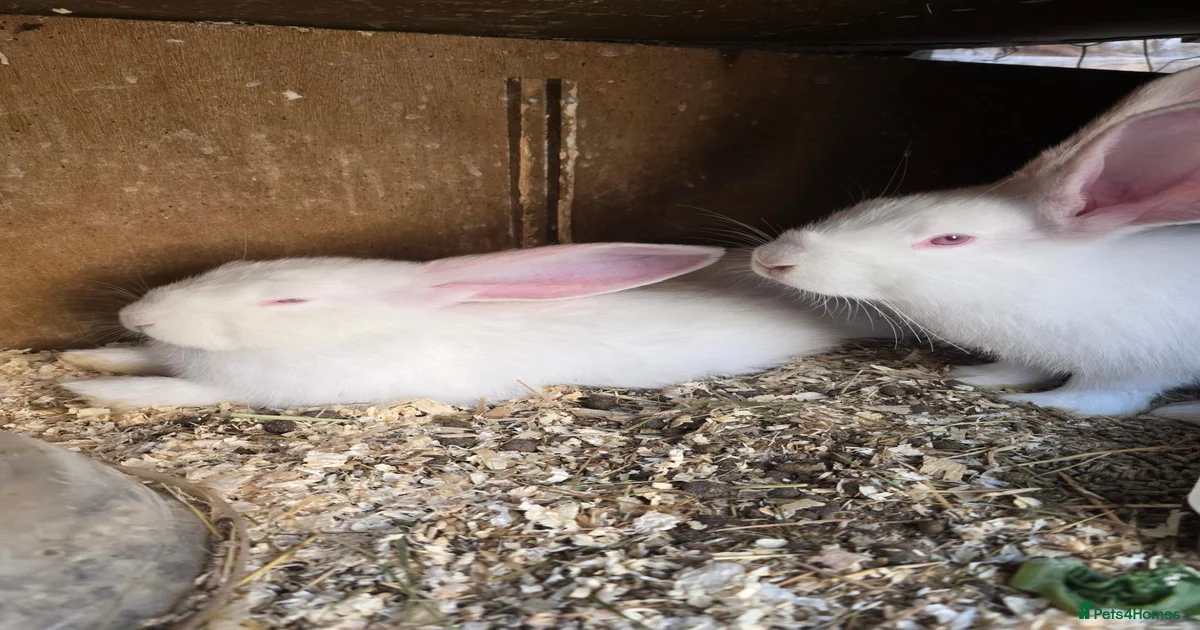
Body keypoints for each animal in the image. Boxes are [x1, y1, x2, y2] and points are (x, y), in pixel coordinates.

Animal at [750, 65, 1200, 419]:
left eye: (950, 238)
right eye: (873, 204)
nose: (770, 259)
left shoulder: (1134, 365)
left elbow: (1104, 398)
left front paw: (1044, 403)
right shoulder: (1026, 350)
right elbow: (1018, 368)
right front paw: (976, 377)